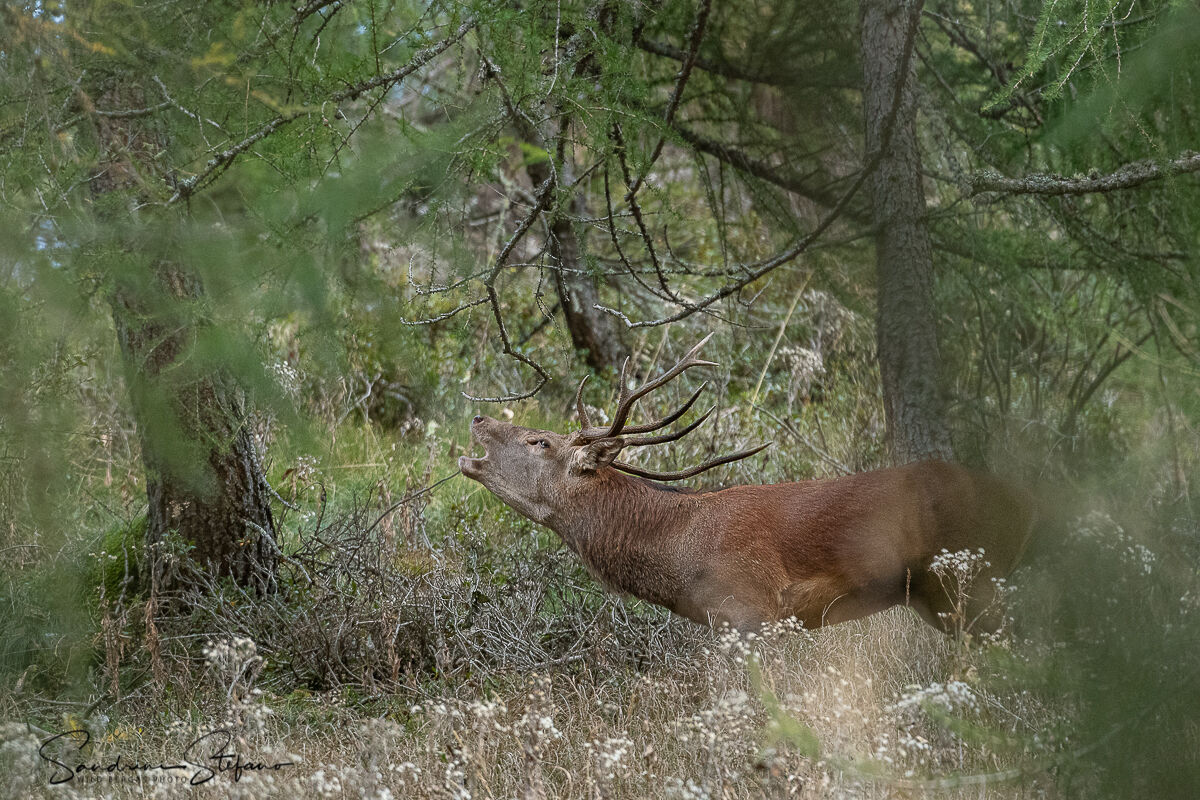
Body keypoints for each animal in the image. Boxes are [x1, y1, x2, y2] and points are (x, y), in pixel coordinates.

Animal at [459, 334, 1035, 633]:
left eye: (539, 441)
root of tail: (1027, 503)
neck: (677, 554)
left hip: (977, 580)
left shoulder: (751, 608)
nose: (479, 419)